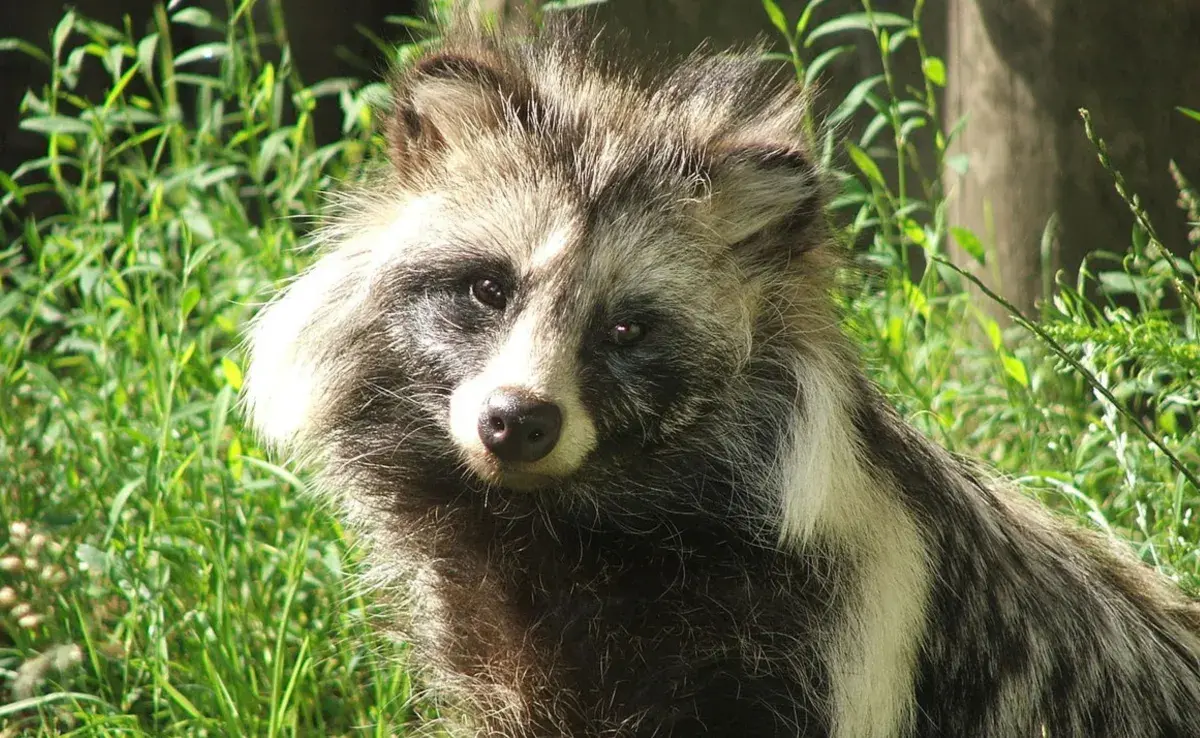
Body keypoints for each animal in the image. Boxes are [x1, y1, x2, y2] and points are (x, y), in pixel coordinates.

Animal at [241, 12, 1200, 738]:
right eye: (489, 286)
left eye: (625, 327)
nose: (516, 421)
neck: (568, 525)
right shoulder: (498, 648)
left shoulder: (827, 637)